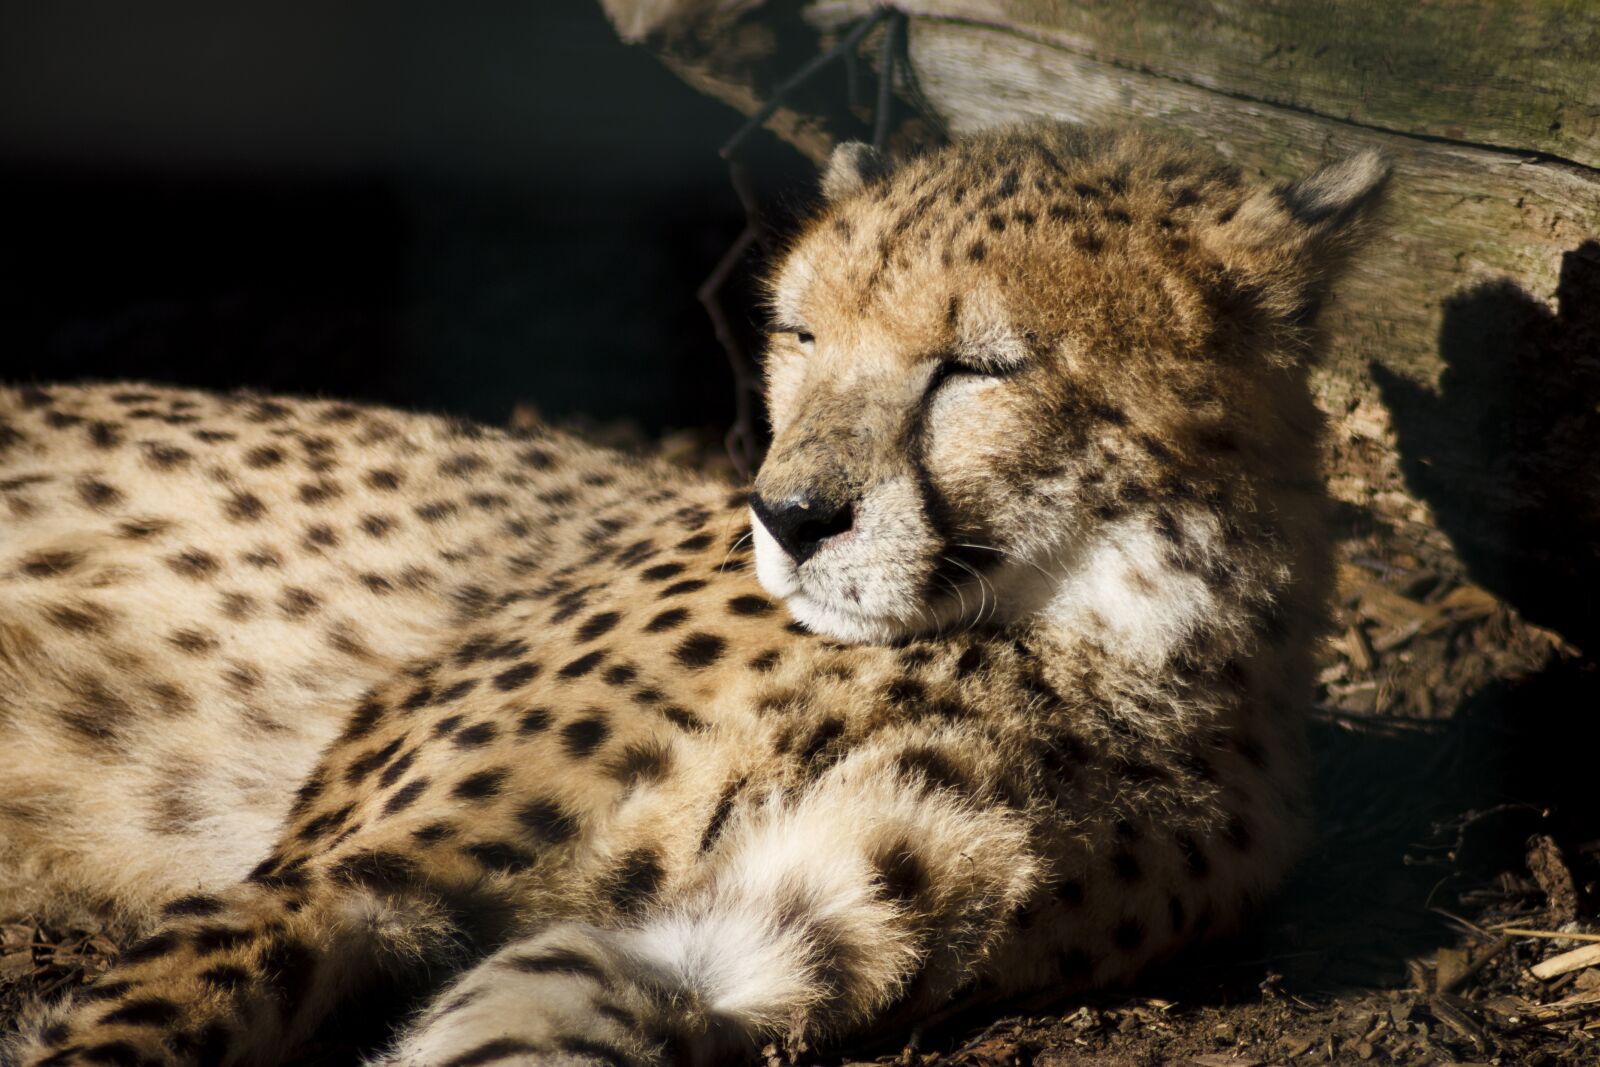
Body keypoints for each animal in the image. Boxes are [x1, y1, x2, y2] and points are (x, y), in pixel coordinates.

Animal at [0, 125, 1387, 1067]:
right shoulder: (337, 873)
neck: (1095, 625)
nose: (790, 515)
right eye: (800, 335)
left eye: (978, 366)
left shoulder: (734, 935)